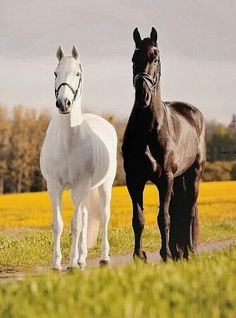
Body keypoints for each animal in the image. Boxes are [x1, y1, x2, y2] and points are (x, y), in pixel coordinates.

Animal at [40, 46, 118, 270]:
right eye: (55, 73)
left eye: (77, 74)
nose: (63, 103)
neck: (68, 143)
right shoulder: (54, 186)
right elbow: (58, 224)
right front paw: (57, 263)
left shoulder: (82, 185)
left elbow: (75, 225)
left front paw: (71, 264)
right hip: (78, 191)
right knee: (84, 215)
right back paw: (82, 258)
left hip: (102, 186)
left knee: (103, 216)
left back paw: (102, 257)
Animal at [122, 28, 206, 260]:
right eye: (134, 58)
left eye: (155, 57)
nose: (143, 95)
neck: (148, 129)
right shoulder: (134, 179)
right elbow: (138, 219)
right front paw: (139, 256)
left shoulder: (165, 178)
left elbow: (164, 217)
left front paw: (166, 254)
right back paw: (181, 251)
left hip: (194, 174)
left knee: (190, 211)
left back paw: (190, 250)